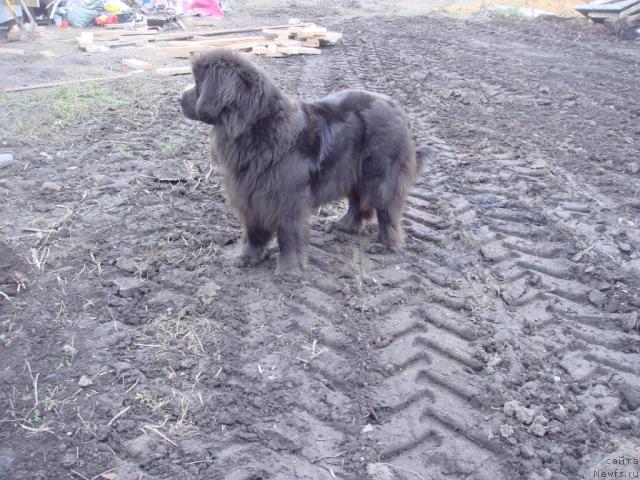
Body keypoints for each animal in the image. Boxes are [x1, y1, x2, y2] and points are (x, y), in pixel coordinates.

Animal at [181, 50, 430, 276]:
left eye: (198, 84)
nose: (178, 99)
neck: (255, 127)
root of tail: (397, 108)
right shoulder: (250, 194)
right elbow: (254, 229)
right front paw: (248, 257)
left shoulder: (286, 198)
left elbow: (287, 234)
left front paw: (288, 270)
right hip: (351, 171)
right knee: (357, 202)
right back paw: (344, 225)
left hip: (380, 174)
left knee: (386, 209)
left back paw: (385, 245)